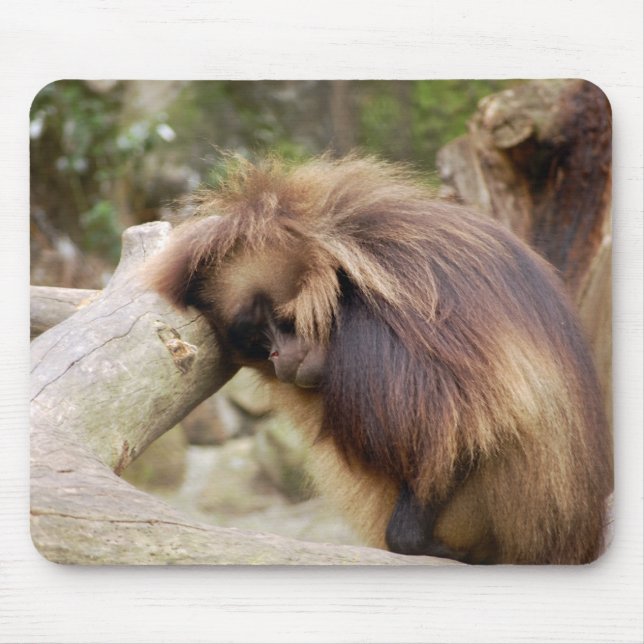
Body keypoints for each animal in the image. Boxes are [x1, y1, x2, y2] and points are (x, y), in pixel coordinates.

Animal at [148, 154, 613, 564]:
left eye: (280, 322)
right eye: (257, 338)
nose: (278, 355)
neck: (350, 272)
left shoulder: (376, 331)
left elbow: (469, 428)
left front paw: (412, 541)